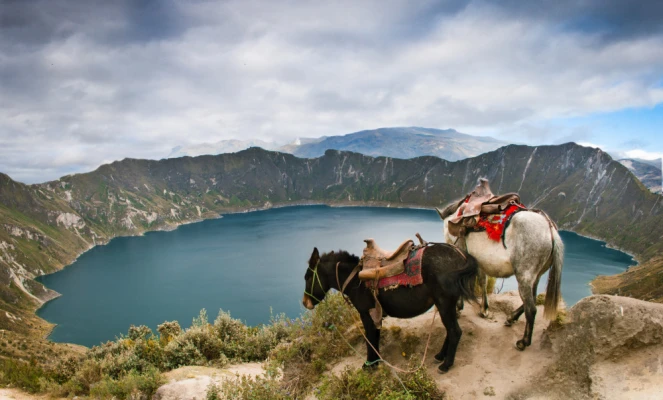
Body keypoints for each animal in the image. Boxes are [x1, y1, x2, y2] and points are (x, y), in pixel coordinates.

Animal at [301, 244, 478, 373]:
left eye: (308, 277)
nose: (304, 302)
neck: (355, 280)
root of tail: (461, 256)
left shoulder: (366, 314)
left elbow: (370, 339)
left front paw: (369, 364)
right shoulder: (375, 315)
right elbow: (376, 337)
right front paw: (377, 361)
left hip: (444, 303)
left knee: (455, 332)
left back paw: (446, 365)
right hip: (447, 305)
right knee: (450, 330)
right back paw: (440, 356)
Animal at [436, 202, 564, 351]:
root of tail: (551, 231)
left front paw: (459, 308)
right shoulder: (479, 262)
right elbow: (483, 281)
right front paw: (484, 309)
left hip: (524, 276)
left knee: (531, 309)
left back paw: (523, 342)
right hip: (535, 276)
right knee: (532, 297)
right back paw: (511, 318)